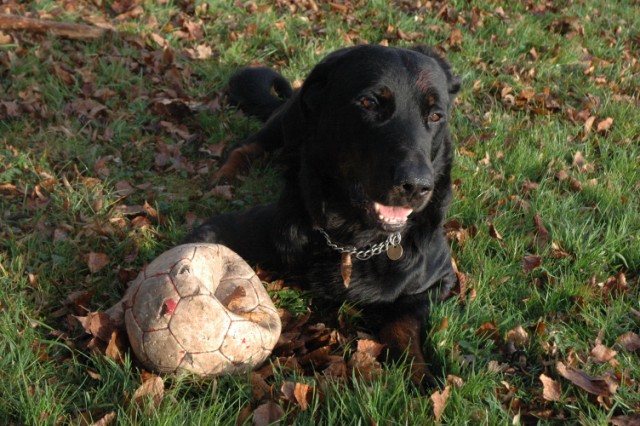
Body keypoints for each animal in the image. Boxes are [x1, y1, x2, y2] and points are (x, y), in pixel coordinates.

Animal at [185, 45, 460, 388]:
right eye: (368, 103)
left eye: (436, 116)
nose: (417, 186)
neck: (354, 240)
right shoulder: (221, 229)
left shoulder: (441, 280)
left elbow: (402, 324)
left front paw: (418, 373)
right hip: (289, 121)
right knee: (248, 145)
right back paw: (225, 177)